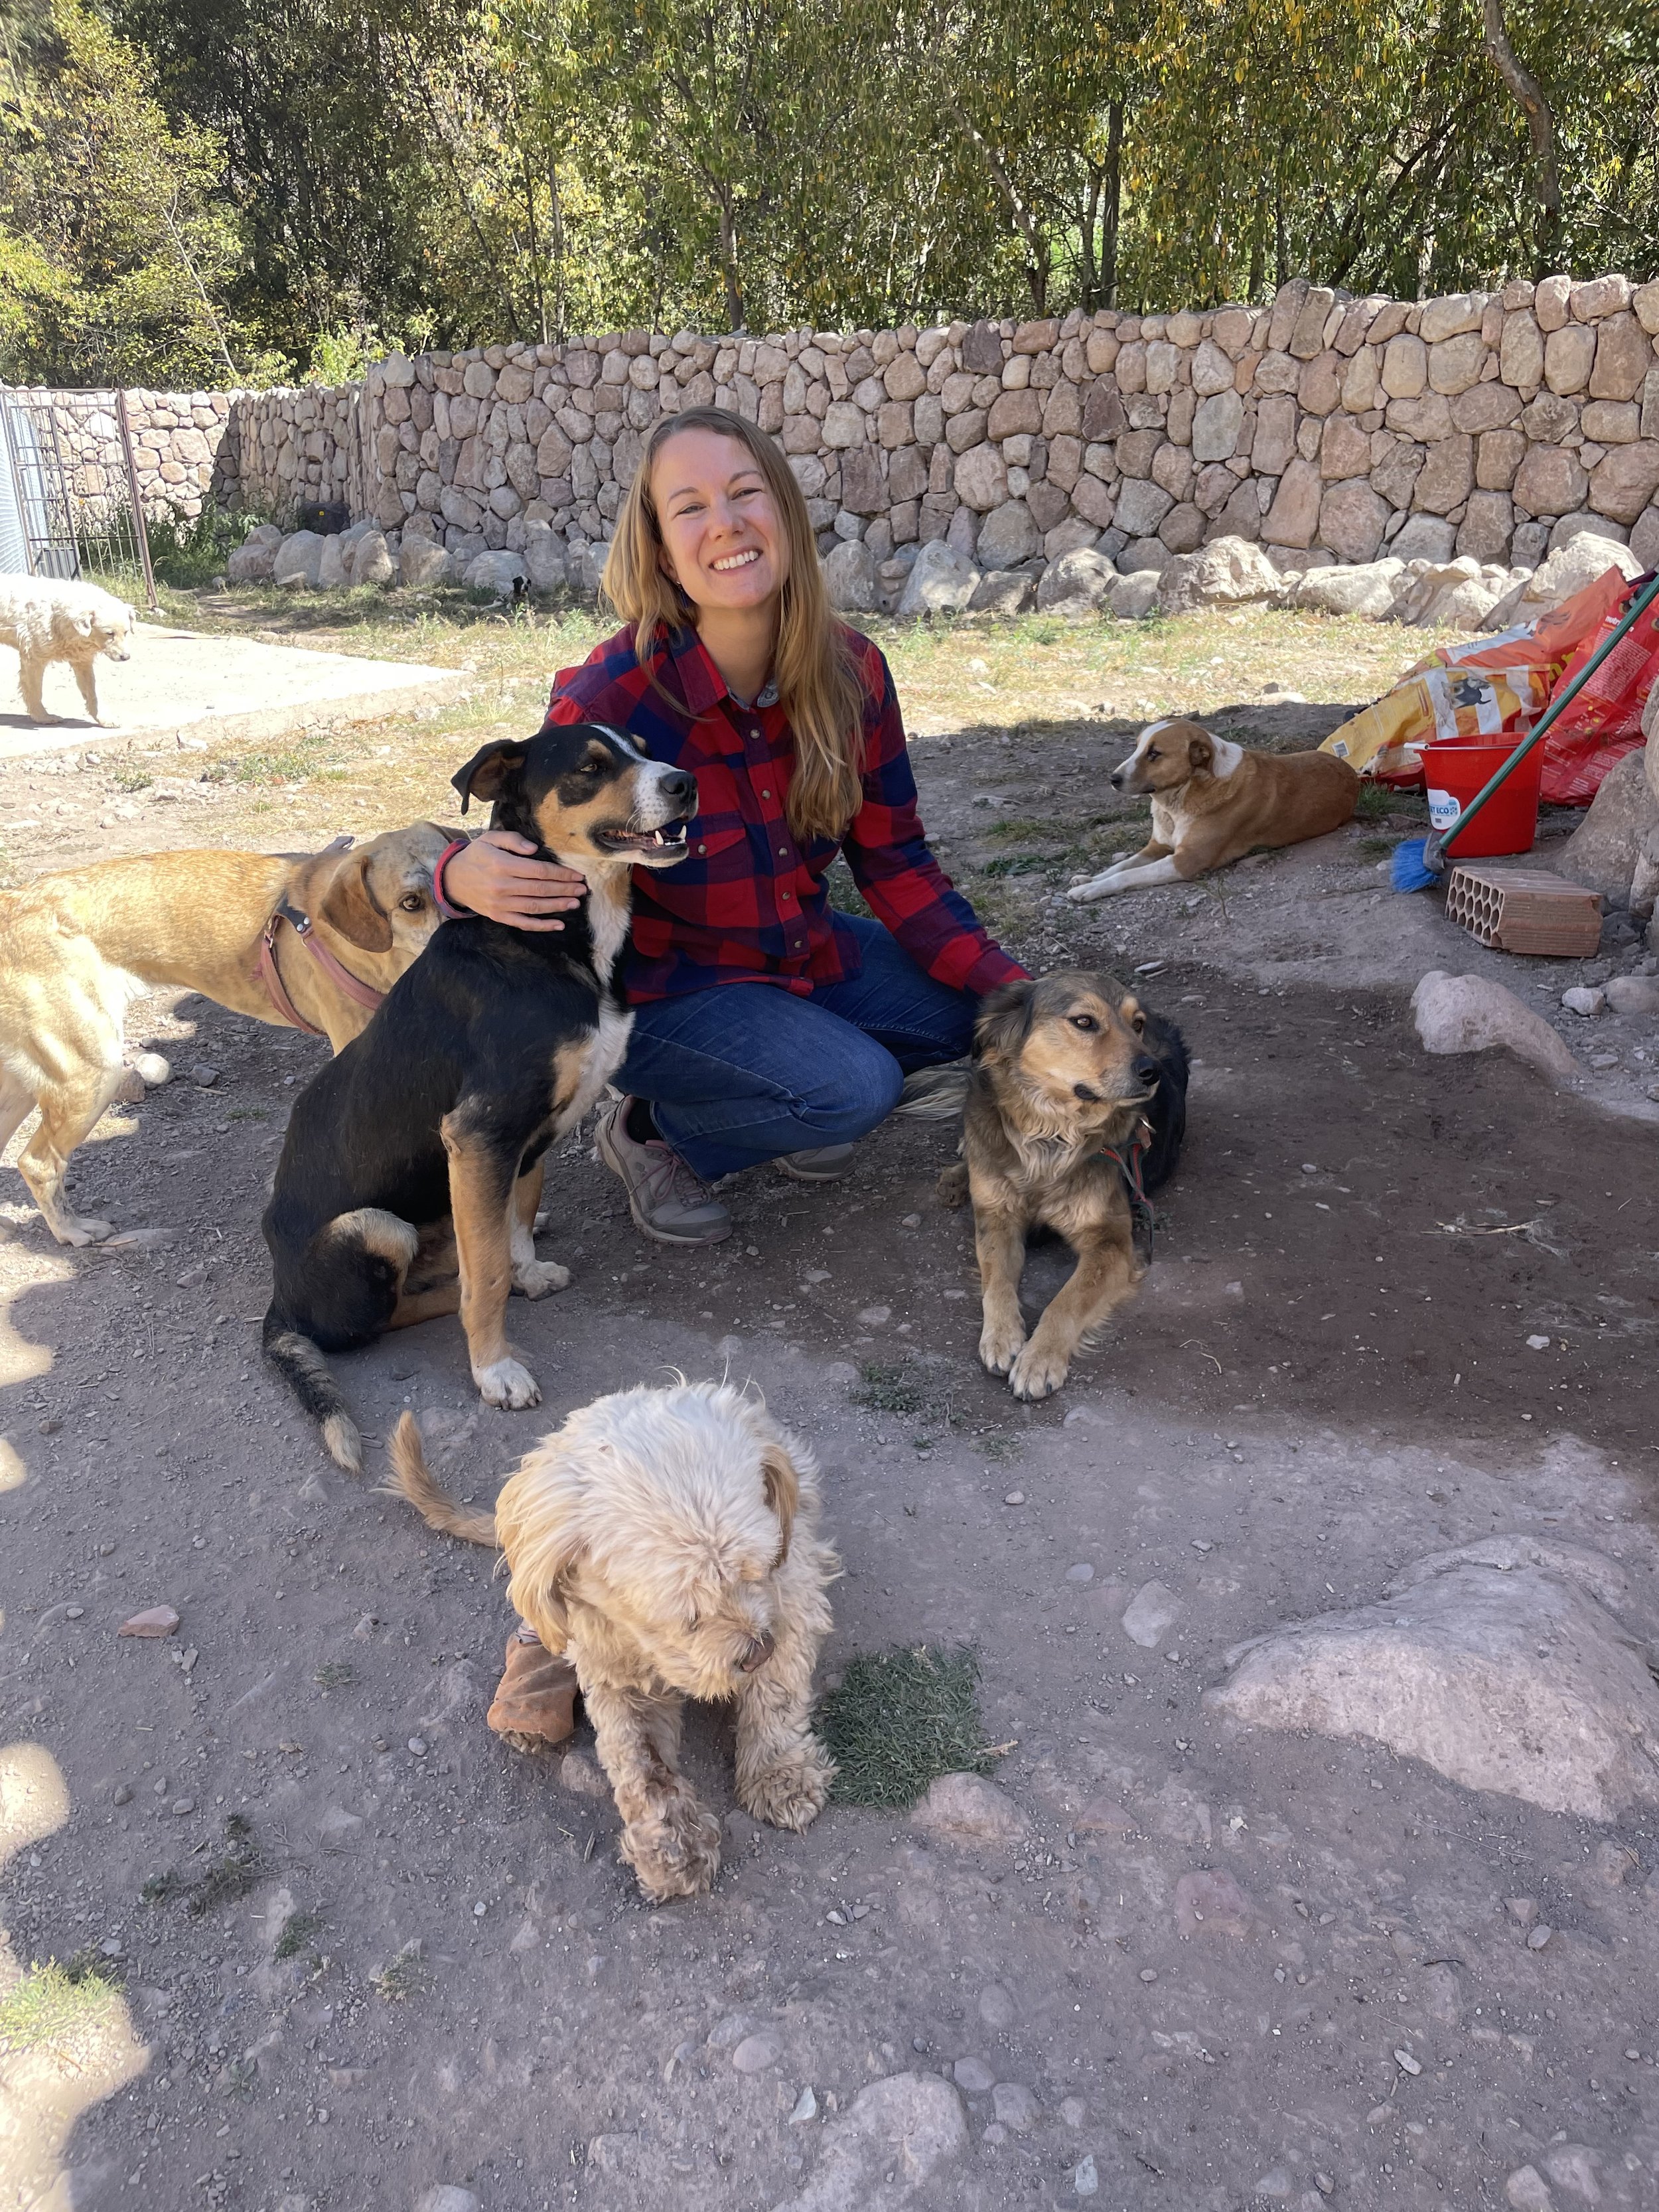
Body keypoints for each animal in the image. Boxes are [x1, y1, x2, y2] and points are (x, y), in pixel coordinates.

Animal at [0, 579, 135, 725]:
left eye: (126, 632)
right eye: (110, 634)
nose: (126, 657)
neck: (56, 618)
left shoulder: (82, 661)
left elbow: (93, 693)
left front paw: (105, 719)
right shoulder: (33, 659)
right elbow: (35, 692)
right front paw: (43, 718)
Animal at [261, 725, 703, 1469]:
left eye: (643, 746)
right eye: (590, 767)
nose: (685, 783)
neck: (557, 940)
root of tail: (278, 1300)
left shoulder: (525, 1139)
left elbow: (514, 1220)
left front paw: (527, 1271)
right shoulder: (480, 1134)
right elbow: (489, 1271)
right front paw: (495, 1370)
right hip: (373, 1227)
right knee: (377, 1318)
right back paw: (445, 1294)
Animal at [382, 1380, 836, 1902]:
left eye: (757, 1568)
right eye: (688, 1614)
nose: (757, 1651)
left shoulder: (793, 1597)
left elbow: (776, 1696)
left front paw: (779, 1775)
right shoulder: (609, 1663)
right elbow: (640, 1761)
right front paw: (671, 1847)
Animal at [942, 973, 1185, 1398]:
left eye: (1137, 1024)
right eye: (1084, 1022)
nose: (1151, 1070)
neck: (1050, 1135)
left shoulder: (1111, 1241)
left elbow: (1066, 1301)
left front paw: (1039, 1359)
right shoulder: (998, 1217)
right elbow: (996, 1279)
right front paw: (1001, 1336)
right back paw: (959, 1173)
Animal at [1070, 721, 1354, 902]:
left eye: (1154, 753)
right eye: (1137, 747)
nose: (1113, 779)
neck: (1178, 801)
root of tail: (1350, 771)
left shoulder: (1186, 861)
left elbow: (1128, 875)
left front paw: (1091, 890)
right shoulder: (1157, 847)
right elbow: (1122, 865)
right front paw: (1089, 879)